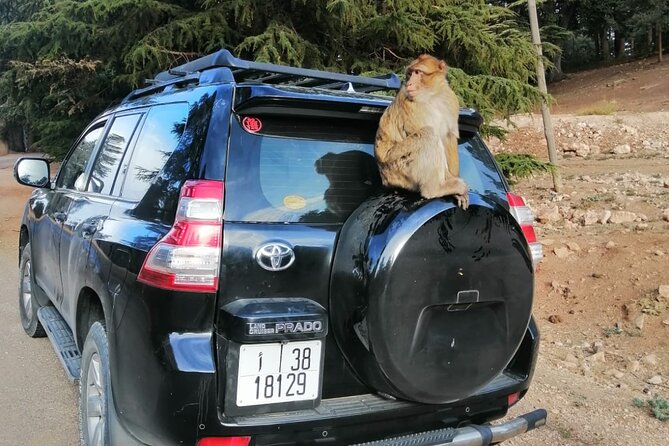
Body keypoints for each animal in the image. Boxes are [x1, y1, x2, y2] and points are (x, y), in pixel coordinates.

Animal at [374, 54, 468, 209]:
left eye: (417, 72)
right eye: (410, 73)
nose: (409, 83)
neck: (432, 96)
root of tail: (385, 180)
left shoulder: (451, 99)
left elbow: (448, 137)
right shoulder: (409, 103)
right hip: (398, 165)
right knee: (428, 134)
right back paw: (435, 189)